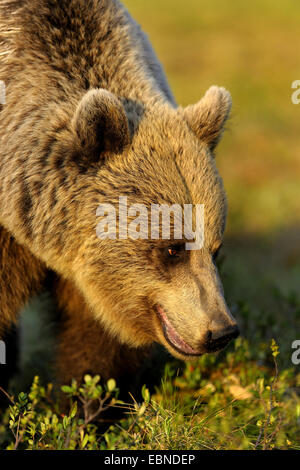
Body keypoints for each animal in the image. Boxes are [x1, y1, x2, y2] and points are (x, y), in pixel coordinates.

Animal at [0, 0, 239, 396]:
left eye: (216, 248)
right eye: (172, 248)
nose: (220, 330)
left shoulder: (99, 278)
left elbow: (97, 344)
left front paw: (90, 401)